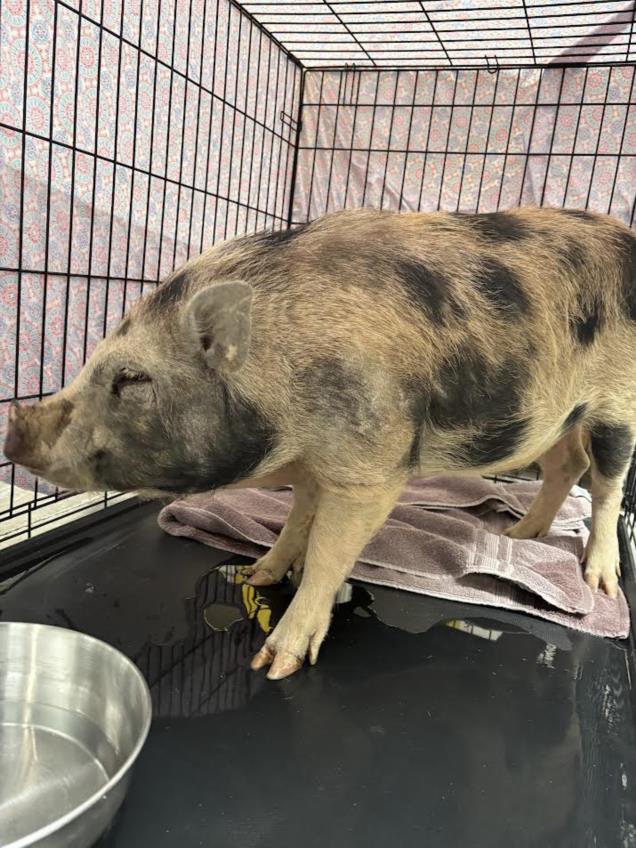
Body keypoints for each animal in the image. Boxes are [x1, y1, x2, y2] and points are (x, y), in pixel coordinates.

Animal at [4, 207, 636, 679]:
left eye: (133, 379)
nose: (17, 426)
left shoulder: (370, 464)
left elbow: (331, 551)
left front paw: (274, 664)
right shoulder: (312, 462)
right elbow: (295, 519)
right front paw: (258, 574)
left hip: (617, 404)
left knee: (606, 484)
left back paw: (597, 580)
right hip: (555, 418)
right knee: (566, 464)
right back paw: (519, 536)